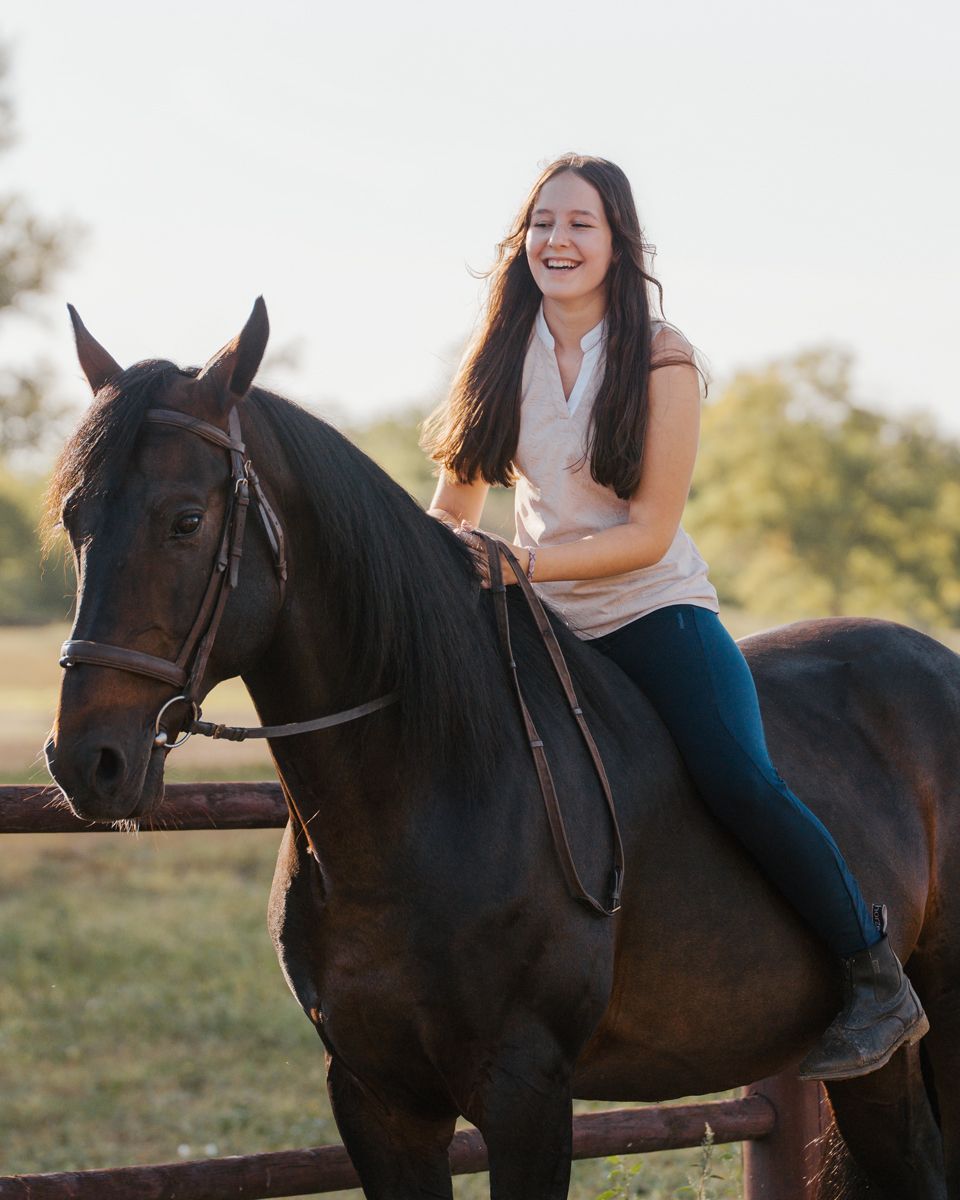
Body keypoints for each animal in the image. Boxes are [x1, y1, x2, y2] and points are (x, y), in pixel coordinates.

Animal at [44, 299, 960, 1199]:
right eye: (74, 519)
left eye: (186, 520)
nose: (87, 761)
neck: (431, 791)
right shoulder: (377, 1100)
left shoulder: (525, 1093)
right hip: (868, 1077)